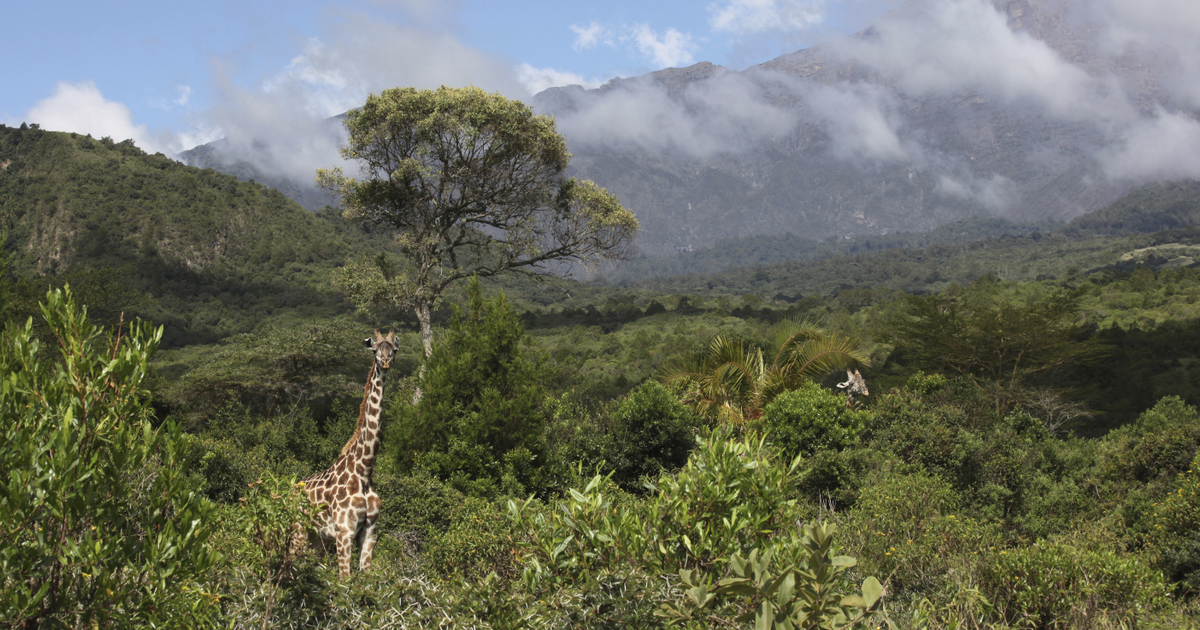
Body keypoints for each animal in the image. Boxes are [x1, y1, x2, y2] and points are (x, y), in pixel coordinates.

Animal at [300, 328, 398, 573]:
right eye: (374, 350)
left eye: (394, 349)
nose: (385, 361)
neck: (364, 471)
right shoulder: (344, 531)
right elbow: (345, 579)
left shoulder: (370, 532)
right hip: (298, 530)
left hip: (317, 539)